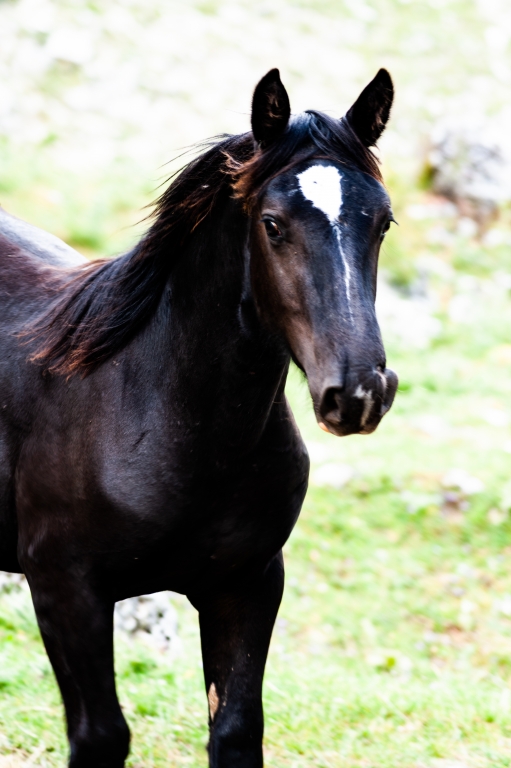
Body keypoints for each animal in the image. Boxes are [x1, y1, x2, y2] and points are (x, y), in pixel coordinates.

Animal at [0, 68, 398, 767]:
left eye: (382, 222)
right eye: (272, 224)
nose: (359, 392)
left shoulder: (247, 585)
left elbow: (236, 731)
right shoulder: (64, 591)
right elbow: (100, 735)